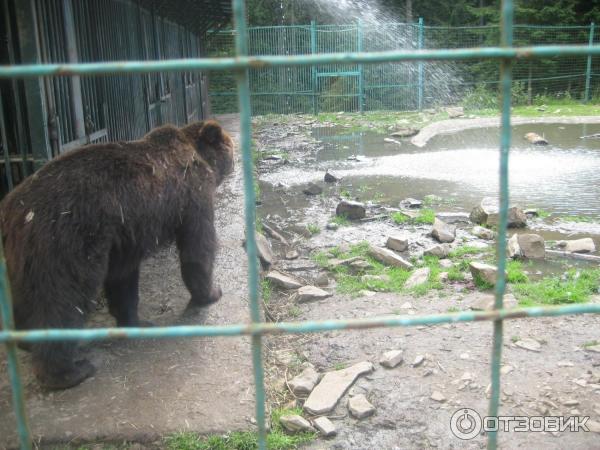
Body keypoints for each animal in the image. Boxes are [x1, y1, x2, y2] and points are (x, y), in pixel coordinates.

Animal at [0, 120, 234, 390]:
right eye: (229, 146)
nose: (235, 158)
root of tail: (14, 211)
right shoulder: (193, 196)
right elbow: (198, 247)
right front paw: (211, 292)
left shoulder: (125, 232)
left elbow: (123, 278)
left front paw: (135, 320)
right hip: (66, 242)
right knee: (63, 300)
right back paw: (68, 371)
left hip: (20, 260)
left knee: (22, 296)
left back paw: (25, 340)